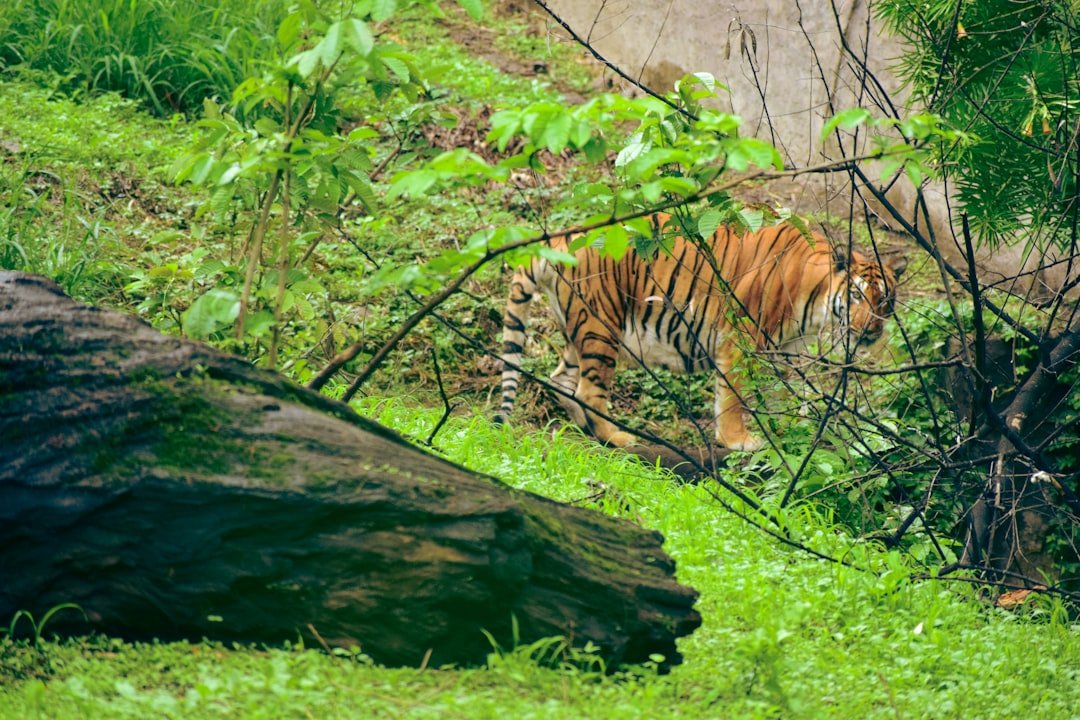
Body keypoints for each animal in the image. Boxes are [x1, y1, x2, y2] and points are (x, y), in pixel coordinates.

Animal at [493, 212, 907, 451]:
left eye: (885, 299)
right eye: (856, 295)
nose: (872, 329)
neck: (815, 295)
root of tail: (562, 237)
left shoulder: (784, 351)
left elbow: (776, 396)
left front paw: (787, 433)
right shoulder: (742, 340)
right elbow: (732, 397)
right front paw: (739, 440)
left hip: (577, 328)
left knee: (561, 380)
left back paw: (587, 431)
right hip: (601, 324)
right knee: (587, 391)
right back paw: (618, 438)